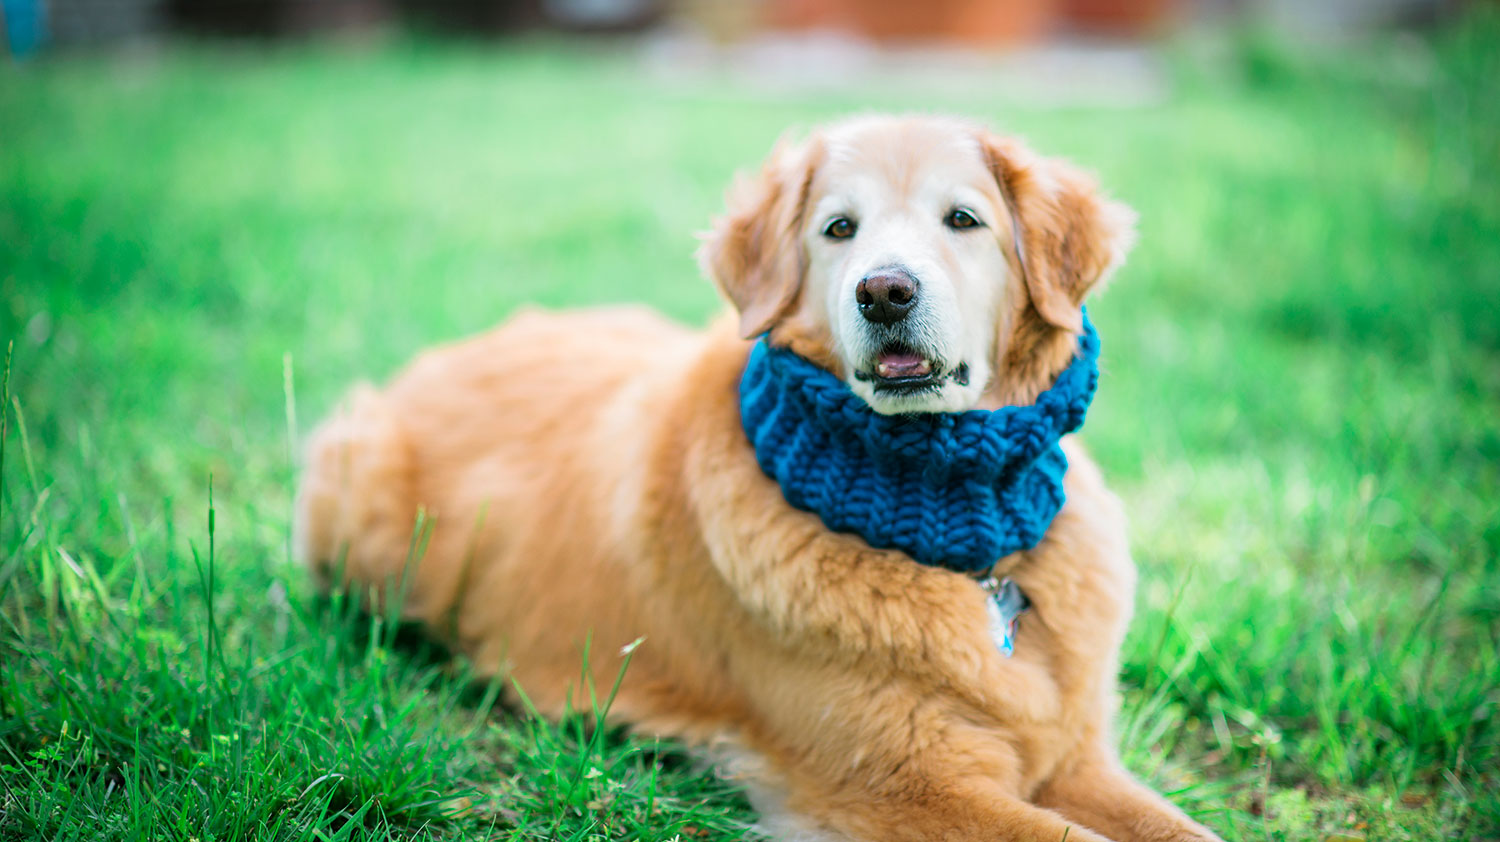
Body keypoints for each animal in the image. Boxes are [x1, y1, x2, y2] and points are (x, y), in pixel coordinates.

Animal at [298, 113, 1224, 840]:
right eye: (839, 229)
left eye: (963, 219)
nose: (885, 292)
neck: (954, 524)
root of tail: (439, 355)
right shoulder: (905, 786)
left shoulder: (1076, 756)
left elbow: (1180, 831)